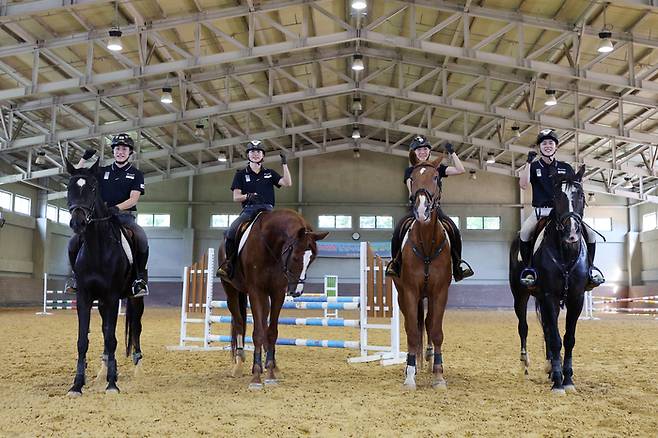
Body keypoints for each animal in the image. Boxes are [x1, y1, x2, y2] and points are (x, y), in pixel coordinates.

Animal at [64, 158, 144, 396]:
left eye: (92, 187)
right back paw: (104, 370)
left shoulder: (112, 297)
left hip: (135, 299)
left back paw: (136, 369)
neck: (97, 248)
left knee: (135, 328)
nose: (78, 223)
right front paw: (77, 385)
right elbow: (84, 340)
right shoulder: (85, 297)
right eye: (69, 187)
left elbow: (111, 338)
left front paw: (112, 384)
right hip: (100, 303)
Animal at [217, 210, 326, 390]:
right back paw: (239, 364)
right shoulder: (256, 291)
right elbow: (258, 333)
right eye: (295, 257)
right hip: (231, 291)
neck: (270, 246)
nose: (297, 291)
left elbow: (271, 332)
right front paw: (256, 376)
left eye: (311, 259)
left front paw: (270, 372)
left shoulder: (277, 293)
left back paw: (273, 366)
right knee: (239, 323)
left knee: (264, 324)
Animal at [390, 151, 452, 390]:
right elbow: (412, 333)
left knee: (427, 322)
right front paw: (409, 375)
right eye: (413, 178)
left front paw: (439, 375)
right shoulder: (409, 292)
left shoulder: (440, 292)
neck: (426, 243)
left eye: (436, 177)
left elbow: (435, 331)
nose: (422, 209)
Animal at [508, 164, 588, 394]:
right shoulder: (549, 296)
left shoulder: (576, 298)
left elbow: (568, 339)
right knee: (524, 327)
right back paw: (525, 366)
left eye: (581, 195)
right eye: (557, 196)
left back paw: (550, 367)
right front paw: (559, 383)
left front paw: (567, 379)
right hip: (521, 296)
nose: (572, 233)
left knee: (546, 329)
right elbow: (555, 339)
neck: (566, 253)